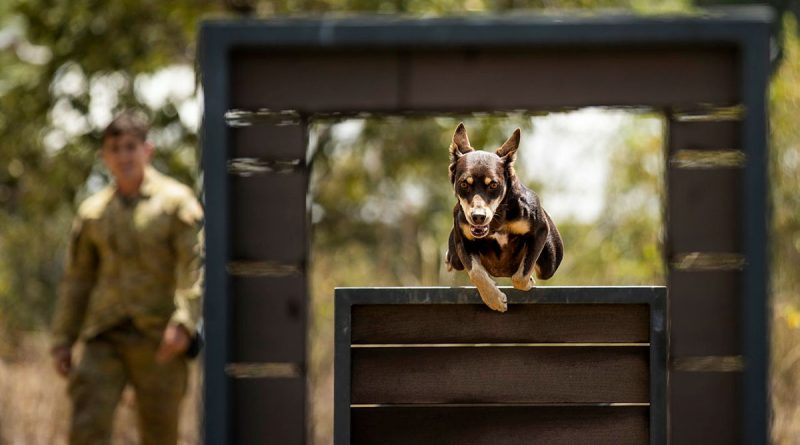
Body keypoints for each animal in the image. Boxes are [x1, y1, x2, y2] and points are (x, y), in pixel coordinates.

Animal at [446, 122, 564, 312]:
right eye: (464, 183)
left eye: (493, 184)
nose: (478, 217)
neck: (497, 219)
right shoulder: (462, 241)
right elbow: (476, 272)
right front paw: (494, 299)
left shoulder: (540, 231)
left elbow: (521, 275)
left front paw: (527, 282)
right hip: (455, 257)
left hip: (550, 262)